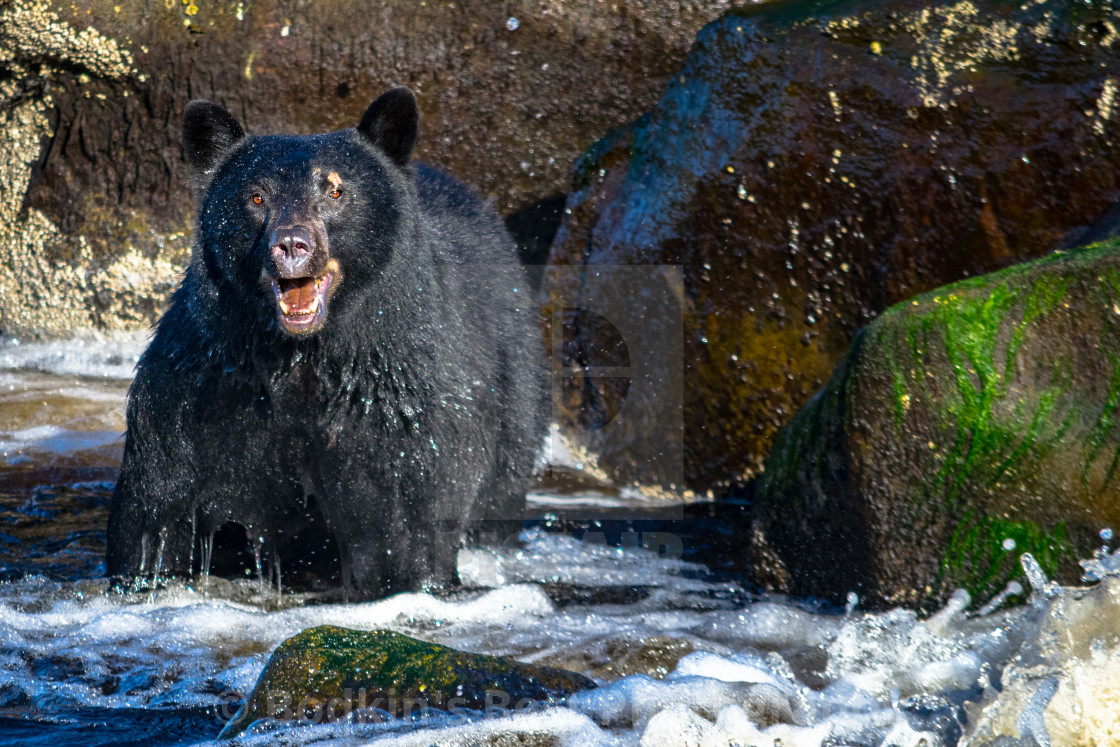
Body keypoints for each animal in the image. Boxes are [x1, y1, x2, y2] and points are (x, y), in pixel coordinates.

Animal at [105, 87, 546, 600]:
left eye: (335, 190)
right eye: (256, 195)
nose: (291, 245)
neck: (302, 356)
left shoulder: (398, 405)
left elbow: (407, 520)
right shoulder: (203, 390)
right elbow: (157, 512)